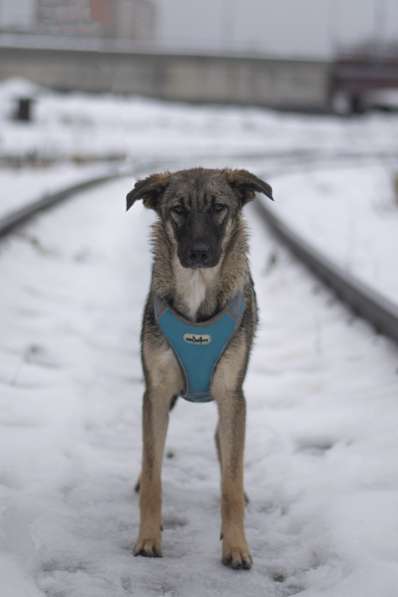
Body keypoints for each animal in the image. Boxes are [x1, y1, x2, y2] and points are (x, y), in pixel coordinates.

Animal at [126, 166, 272, 568]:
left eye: (219, 208)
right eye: (177, 209)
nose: (199, 253)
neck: (196, 288)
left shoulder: (232, 396)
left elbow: (232, 483)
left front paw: (236, 546)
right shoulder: (157, 392)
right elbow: (154, 472)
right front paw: (148, 539)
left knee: (226, 451)